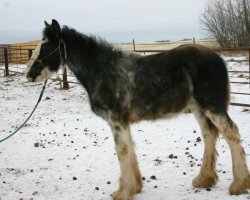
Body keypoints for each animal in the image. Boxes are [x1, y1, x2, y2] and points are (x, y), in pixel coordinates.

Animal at [24, 19, 248, 200]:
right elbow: (129, 150)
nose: (29, 73)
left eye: (46, 44)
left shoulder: (116, 120)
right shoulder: (122, 122)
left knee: (232, 133)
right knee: (209, 135)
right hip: (198, 108)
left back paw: (239, 185)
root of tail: (219, 59)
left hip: (212, 106)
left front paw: (123, 192)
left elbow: (121, 151)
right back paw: (204, 179)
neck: (102, 70)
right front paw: (135, 187)